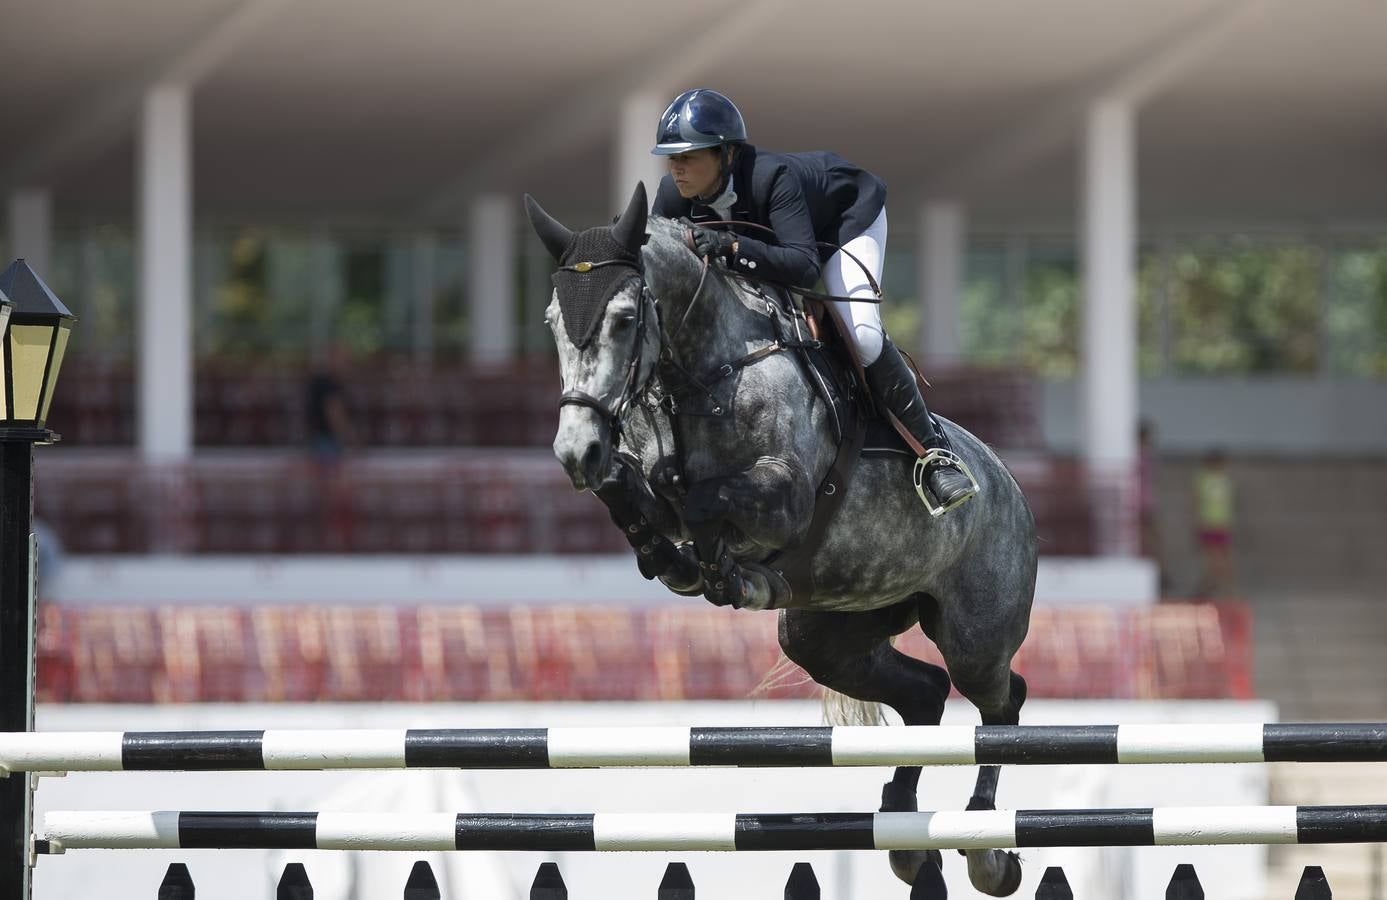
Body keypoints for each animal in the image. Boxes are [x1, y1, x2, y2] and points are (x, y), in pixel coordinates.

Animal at [524, 184, 1037, 898]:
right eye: (552, 321)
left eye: (625, 320)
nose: (576, 450)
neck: (704, 373)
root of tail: (1008, 483)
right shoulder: (648, 481)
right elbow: (633, 486)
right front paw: (673, 556)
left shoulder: (784, 499)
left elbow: (701, 498)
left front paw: (716, 567)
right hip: (828, 633)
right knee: (926, 693)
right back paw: (908, 839)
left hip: (974, 635)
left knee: (1000, 701)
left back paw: (986, 845)